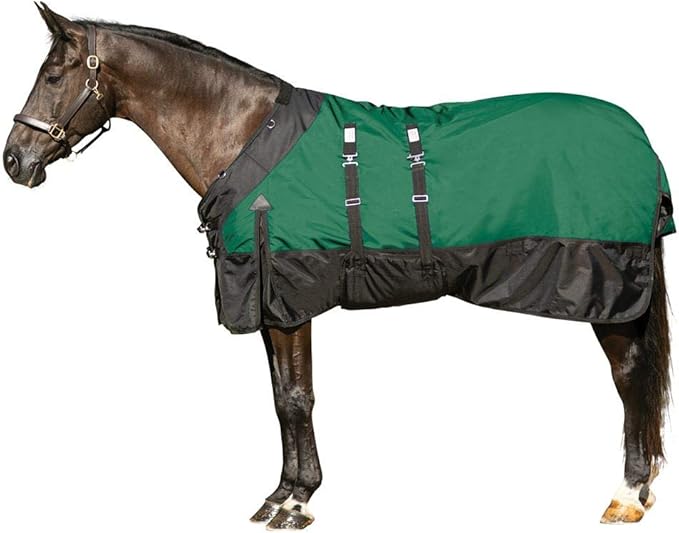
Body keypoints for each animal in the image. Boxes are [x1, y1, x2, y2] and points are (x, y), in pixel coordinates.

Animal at [3, 4, 673, 530]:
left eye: (54, 74)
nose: (15, 160)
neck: (246, 137)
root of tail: (640, 140)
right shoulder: (270, 304)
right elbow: (280, 398)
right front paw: (281, 493)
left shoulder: (290, 296)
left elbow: (298, 398)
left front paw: (296, 504)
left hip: (610, 291)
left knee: (631, 377)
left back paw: (626, 495)